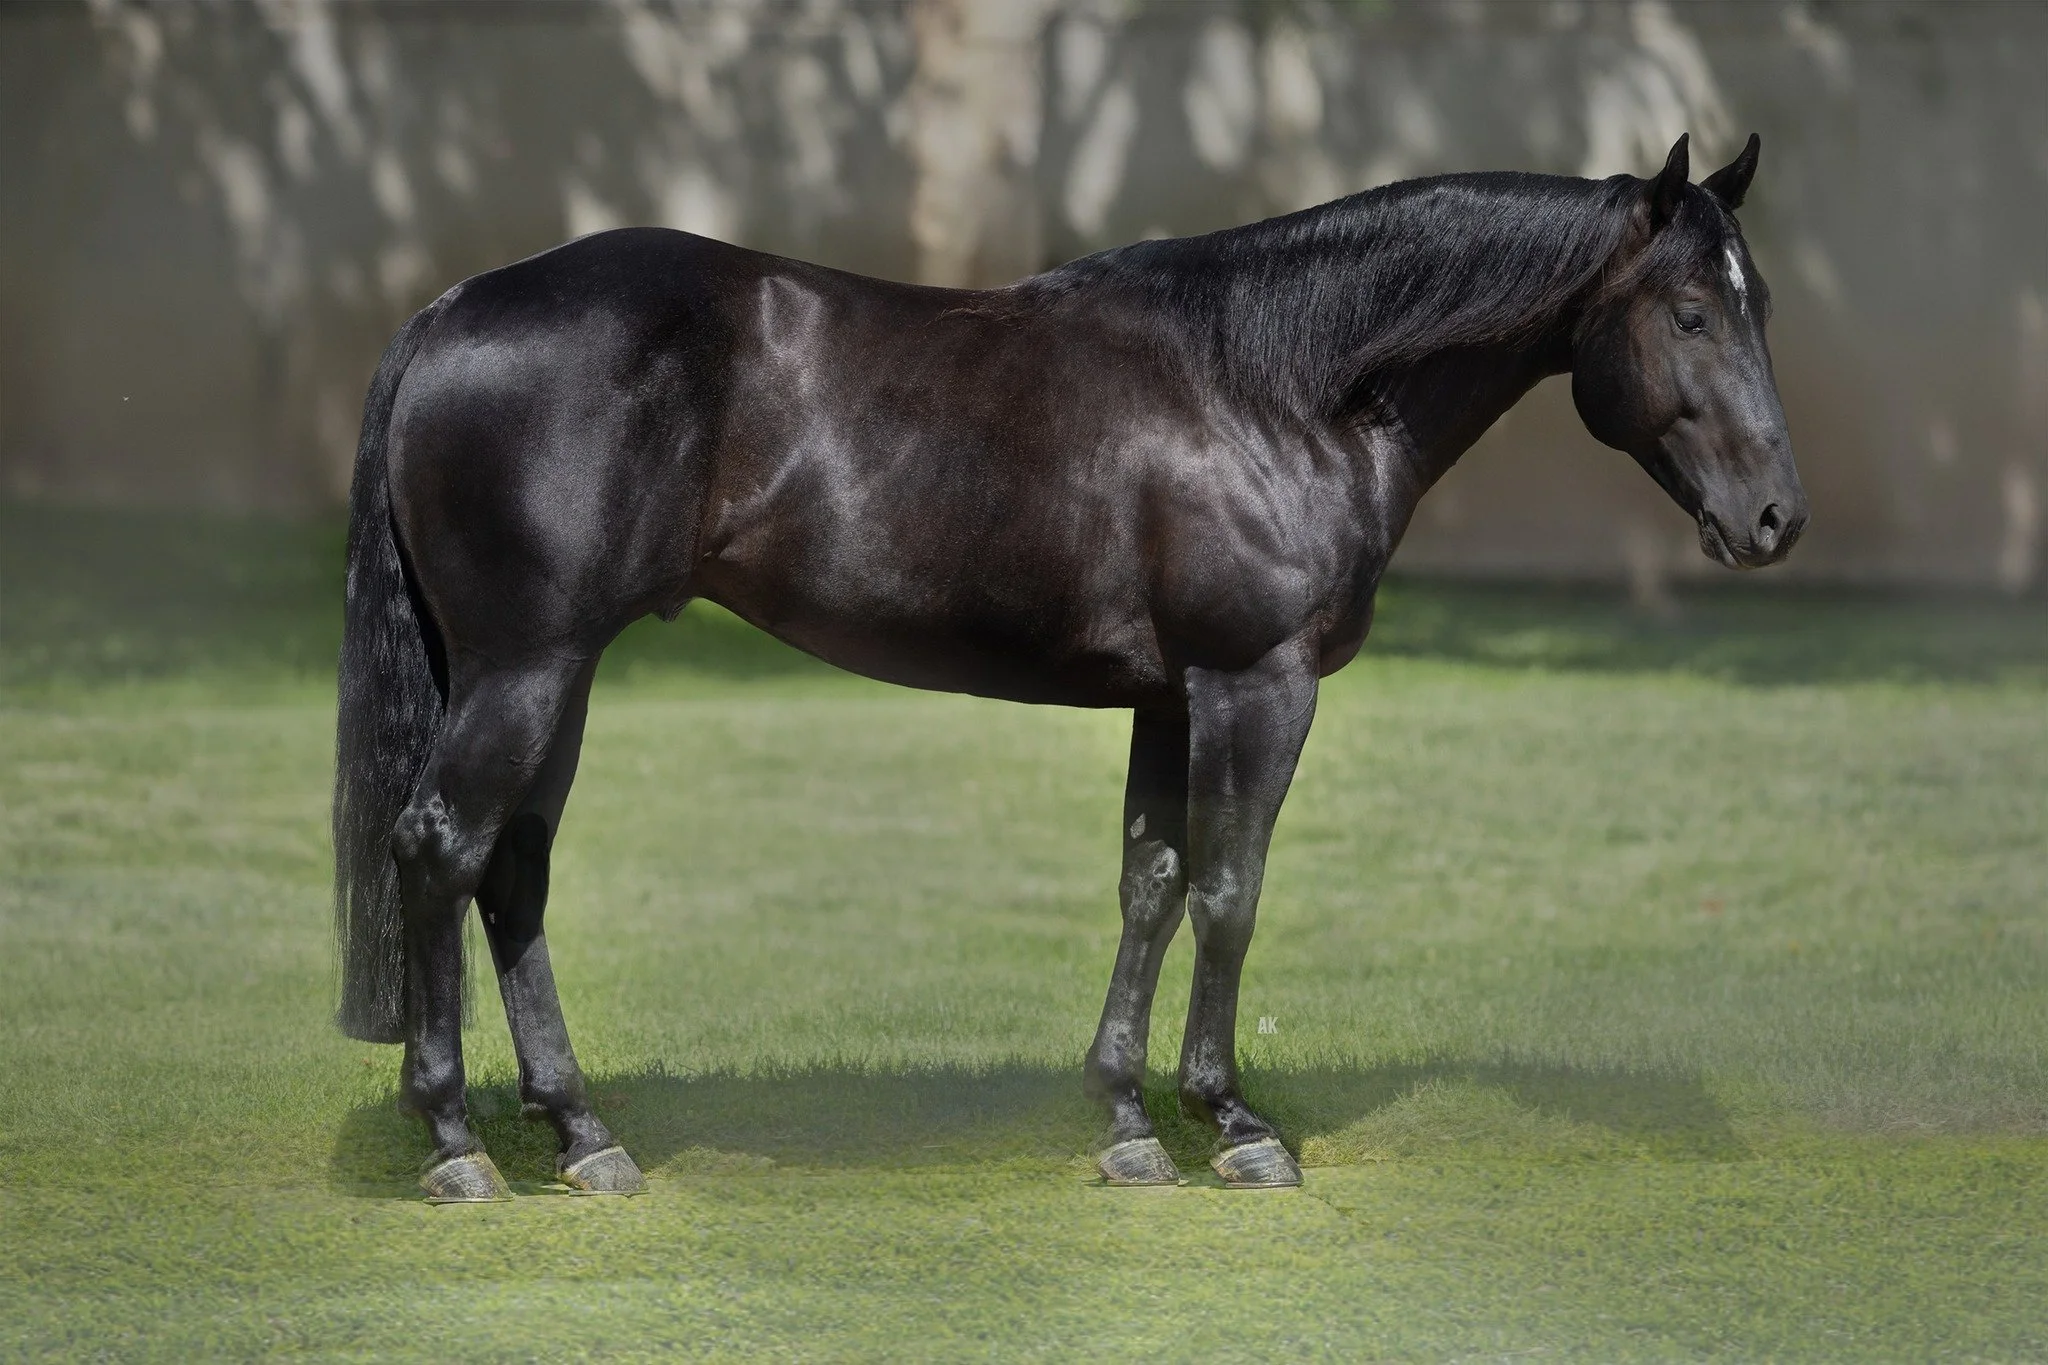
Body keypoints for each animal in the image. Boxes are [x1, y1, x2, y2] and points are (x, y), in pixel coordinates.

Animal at [332, 132, 1806, 1200]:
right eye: (1688, 312)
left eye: (1757, 305)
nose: (1775, 521)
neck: (1273, 385)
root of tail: (453, 307)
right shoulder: (1255, 685)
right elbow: (1229, 892)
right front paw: (1233, 1124)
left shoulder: (1171, 696)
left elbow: (1149, 885)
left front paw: (1127, 1123)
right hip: (527, 667)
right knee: (440, 846)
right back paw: (456, 1145)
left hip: (556, 673)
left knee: (512, 873)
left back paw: (583, 1137)